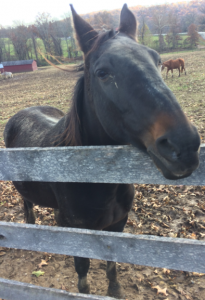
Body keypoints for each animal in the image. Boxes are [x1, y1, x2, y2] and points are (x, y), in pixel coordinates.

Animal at [4, 3, 200, 298]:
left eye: (156, 60)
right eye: (103, 73)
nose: (185, 146)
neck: (94, 175)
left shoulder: (116, 226)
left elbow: (112, 263)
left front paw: (115, 289)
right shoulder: (80, 233)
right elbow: (83, 273)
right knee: (27, 206)